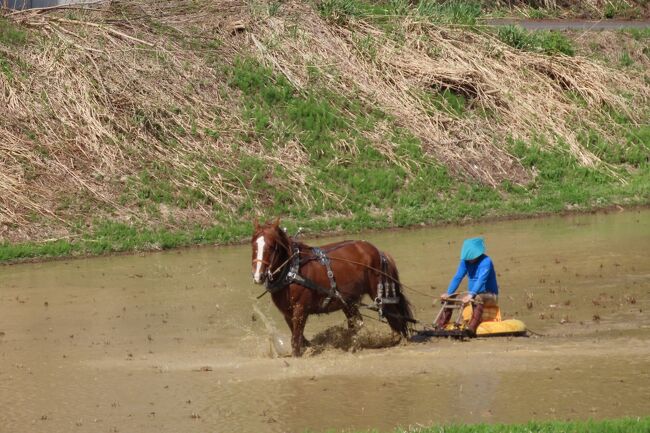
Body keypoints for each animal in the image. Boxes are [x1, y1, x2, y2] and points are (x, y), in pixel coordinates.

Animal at [251, 218, 412, 356]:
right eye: (254, 245)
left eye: (272, 247)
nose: (258, 276)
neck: (292, 270)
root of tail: (379, 252)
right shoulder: (287, 313)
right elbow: (300, 339)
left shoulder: (300, 310)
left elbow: (296, 341)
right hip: (348, 301)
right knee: (357, 323)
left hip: (380, 295)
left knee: (396, 318)